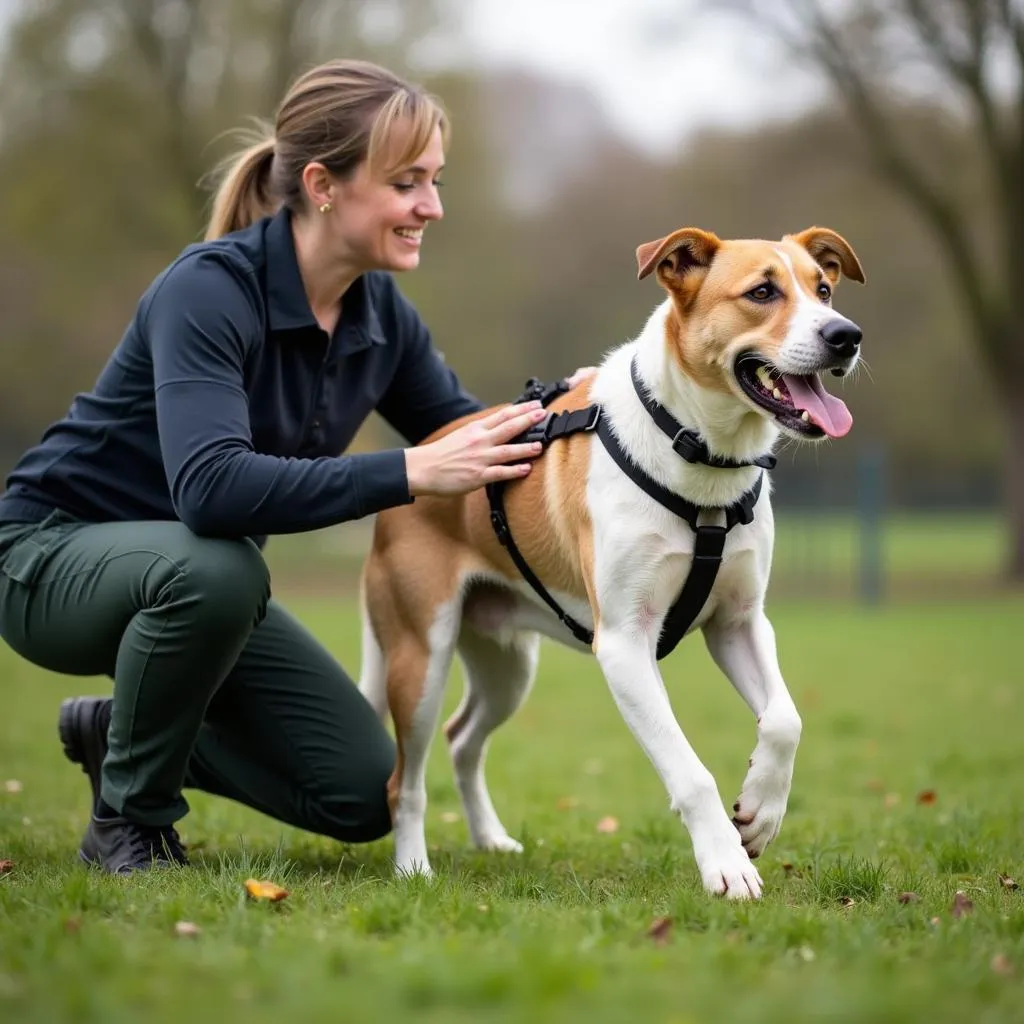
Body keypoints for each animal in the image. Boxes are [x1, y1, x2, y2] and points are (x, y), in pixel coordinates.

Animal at [360, 228, 864, 901]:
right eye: (762, 292)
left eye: (824, 288)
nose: (846, 335)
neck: (703, 454)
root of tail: (417, 457)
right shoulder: (625, 644)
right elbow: (691, 773)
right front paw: (727, 865)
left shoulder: (739, 622)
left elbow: (786, 719)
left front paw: (760, 814)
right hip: (421, 657)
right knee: (404, 780)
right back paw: (413, 868)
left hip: (507, 665)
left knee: (463, 739)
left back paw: (490, 839)